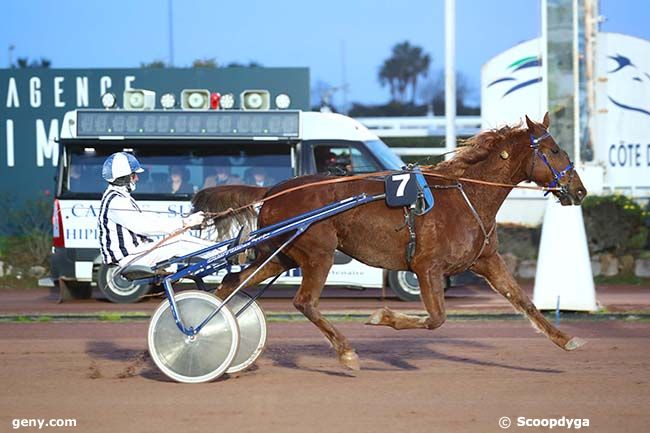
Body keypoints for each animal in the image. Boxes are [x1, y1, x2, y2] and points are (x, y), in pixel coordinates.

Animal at [192, 113, 588, 370]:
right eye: (555, 150)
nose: (579, 190)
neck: (465, 194)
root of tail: (274, 191)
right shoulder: (426, 266)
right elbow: (436, 319)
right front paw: (382, 317)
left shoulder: (486, 260)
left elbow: (524, 301)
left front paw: (566, 339)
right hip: (318, 253)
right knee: (304, 301)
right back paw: (346, 351)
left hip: (282, 255)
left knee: (231, 281)